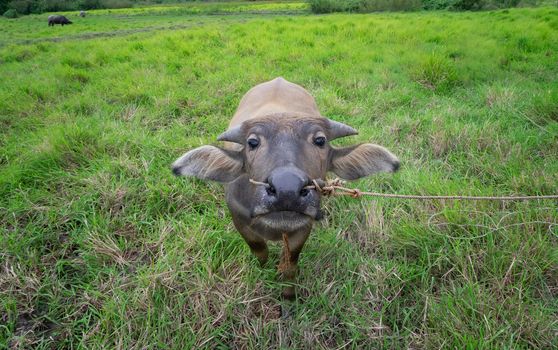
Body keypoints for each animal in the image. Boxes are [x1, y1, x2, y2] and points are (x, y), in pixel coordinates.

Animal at [173, 78, 400, 300]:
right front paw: (264, 270)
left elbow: (291, 263)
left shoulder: (303, 226)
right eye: (252, 142)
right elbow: (259, 250)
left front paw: (288, 295)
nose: (287, 190)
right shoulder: (239, 219)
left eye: (320, 140)